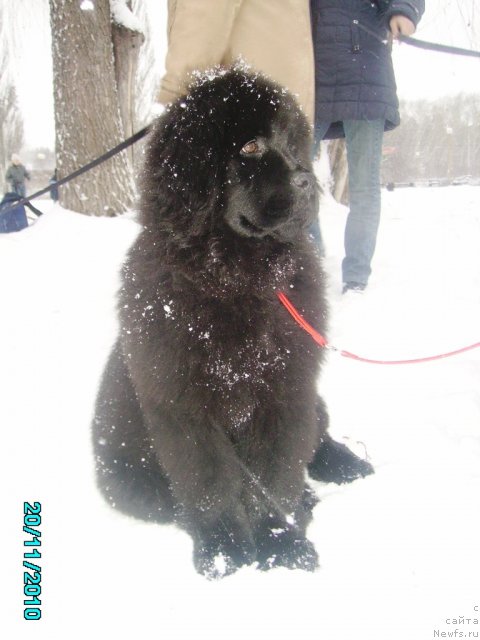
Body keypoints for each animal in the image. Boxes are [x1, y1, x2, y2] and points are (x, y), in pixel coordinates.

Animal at [92, 67, 374, 576]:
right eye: (250, 147)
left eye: (290, 143)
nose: (308, 181)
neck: (238, 281)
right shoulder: (185, 406)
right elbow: (210, 481)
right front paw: (226, 551)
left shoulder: (285, 393)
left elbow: (275, 473)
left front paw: (280, 543)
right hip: (133, 484)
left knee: (319, 435)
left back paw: (347, 467)